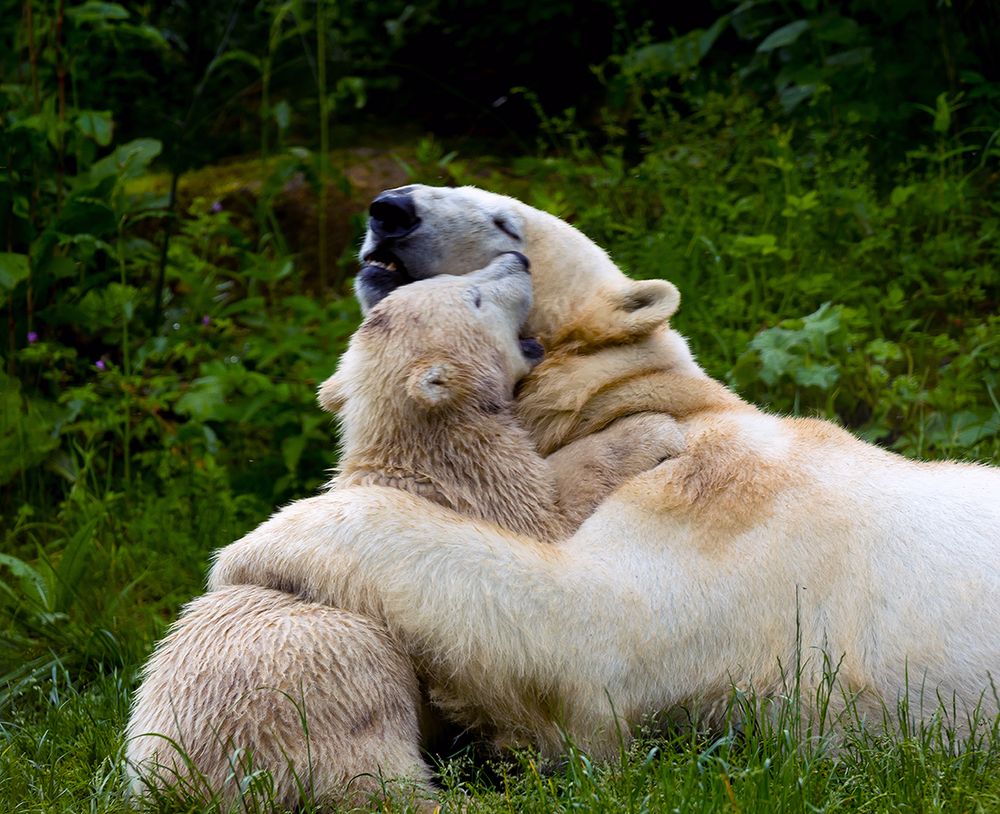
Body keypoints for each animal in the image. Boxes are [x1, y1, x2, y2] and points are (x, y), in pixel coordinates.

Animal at [127, 253, 680, 808]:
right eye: (473, 297)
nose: (517, 258)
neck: (420, 453)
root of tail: (191, 784)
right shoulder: (478, 493)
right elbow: (550, 515)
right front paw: (654, 431)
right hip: (319, 681)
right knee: (371, 765)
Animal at [211, 185, 1000, 764]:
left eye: (504, 221)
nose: (389, 210)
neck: (634, 396)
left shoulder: (717, 505)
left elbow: (588, 631)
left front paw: (255, 547)